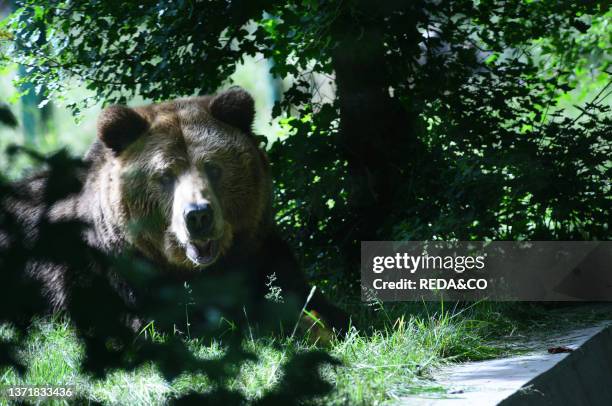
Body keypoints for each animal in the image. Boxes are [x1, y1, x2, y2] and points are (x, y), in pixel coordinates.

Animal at [2, 89, 350, 336]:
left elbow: (305, 294)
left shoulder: (258, 251)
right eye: (165, 175)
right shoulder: (120, 281)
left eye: (213, 167)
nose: (198, 215)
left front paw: (328, 319)